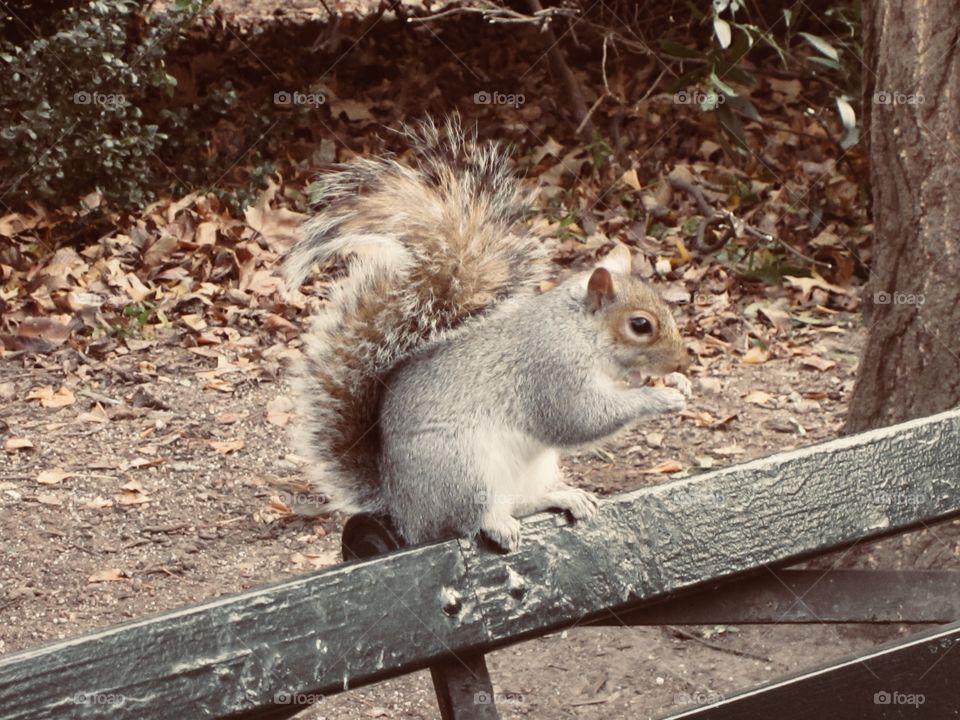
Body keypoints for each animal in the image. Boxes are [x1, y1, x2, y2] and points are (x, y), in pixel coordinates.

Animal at [284, 116, 691, 552]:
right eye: (640, 325)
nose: (681, 360)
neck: (581, 333)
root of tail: (404, 514)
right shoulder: (552, 370)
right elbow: (581, 418)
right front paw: (659, 397)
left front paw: (676, 384)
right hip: (462, 469)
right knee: (467, 520)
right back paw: (496, 524)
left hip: (529, 469)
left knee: (523, 502)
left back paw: (563, 496)